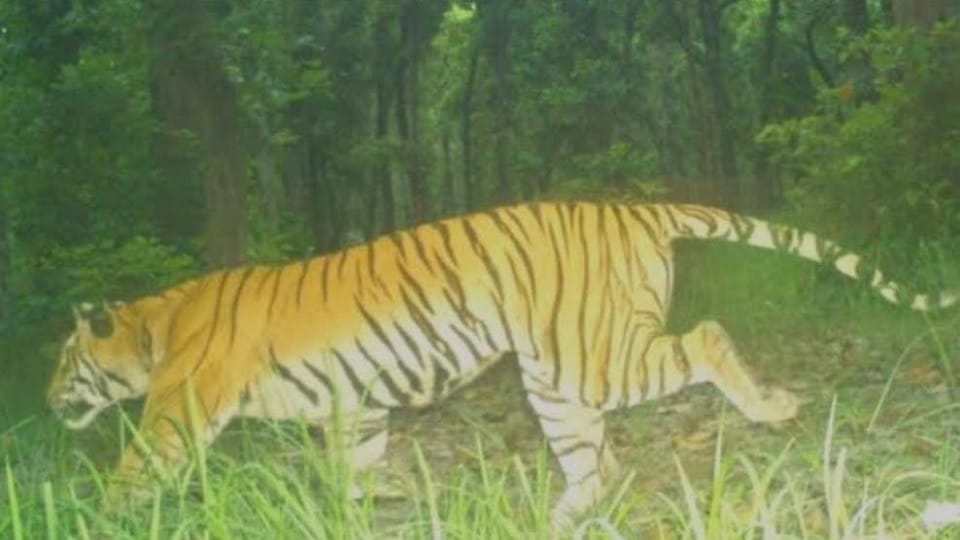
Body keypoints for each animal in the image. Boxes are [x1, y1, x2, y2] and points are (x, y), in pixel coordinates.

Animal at [46, 201, 956, 529]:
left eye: (65, 360)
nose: (47, 397)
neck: (153, 327)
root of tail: (634, 204)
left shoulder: (181, 408)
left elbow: (138, 467)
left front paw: (98, 515)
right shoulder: (355, 403)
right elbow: (353, 467)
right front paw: (367, 505)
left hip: (600, 354)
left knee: (703, 338)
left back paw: (771, 406)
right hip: (554, 377)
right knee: (595, 460)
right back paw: (556, 518)